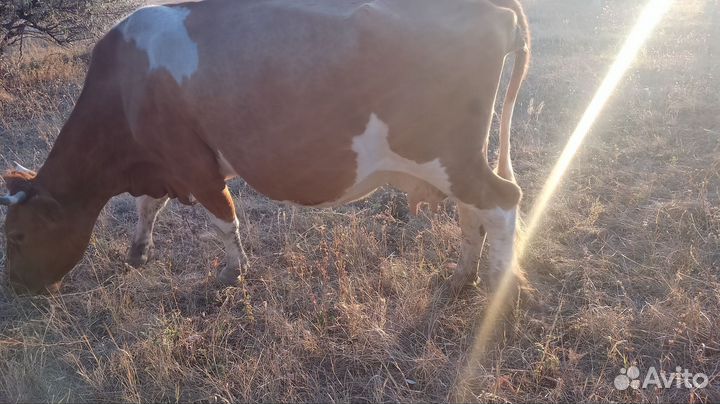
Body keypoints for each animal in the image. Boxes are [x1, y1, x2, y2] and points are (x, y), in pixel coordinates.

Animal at [1, 0, 530, 294]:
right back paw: (462, 278)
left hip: (450, 156)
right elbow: (148, 206)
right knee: (473, 212)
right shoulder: (160, 162)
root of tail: (492, 7)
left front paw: (233, 273)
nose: (18, 288)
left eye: (18, 236)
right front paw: (138, 252)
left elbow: (223, 220)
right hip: (454, 161)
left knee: (503, 202)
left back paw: (498, 290)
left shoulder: (192, 163)